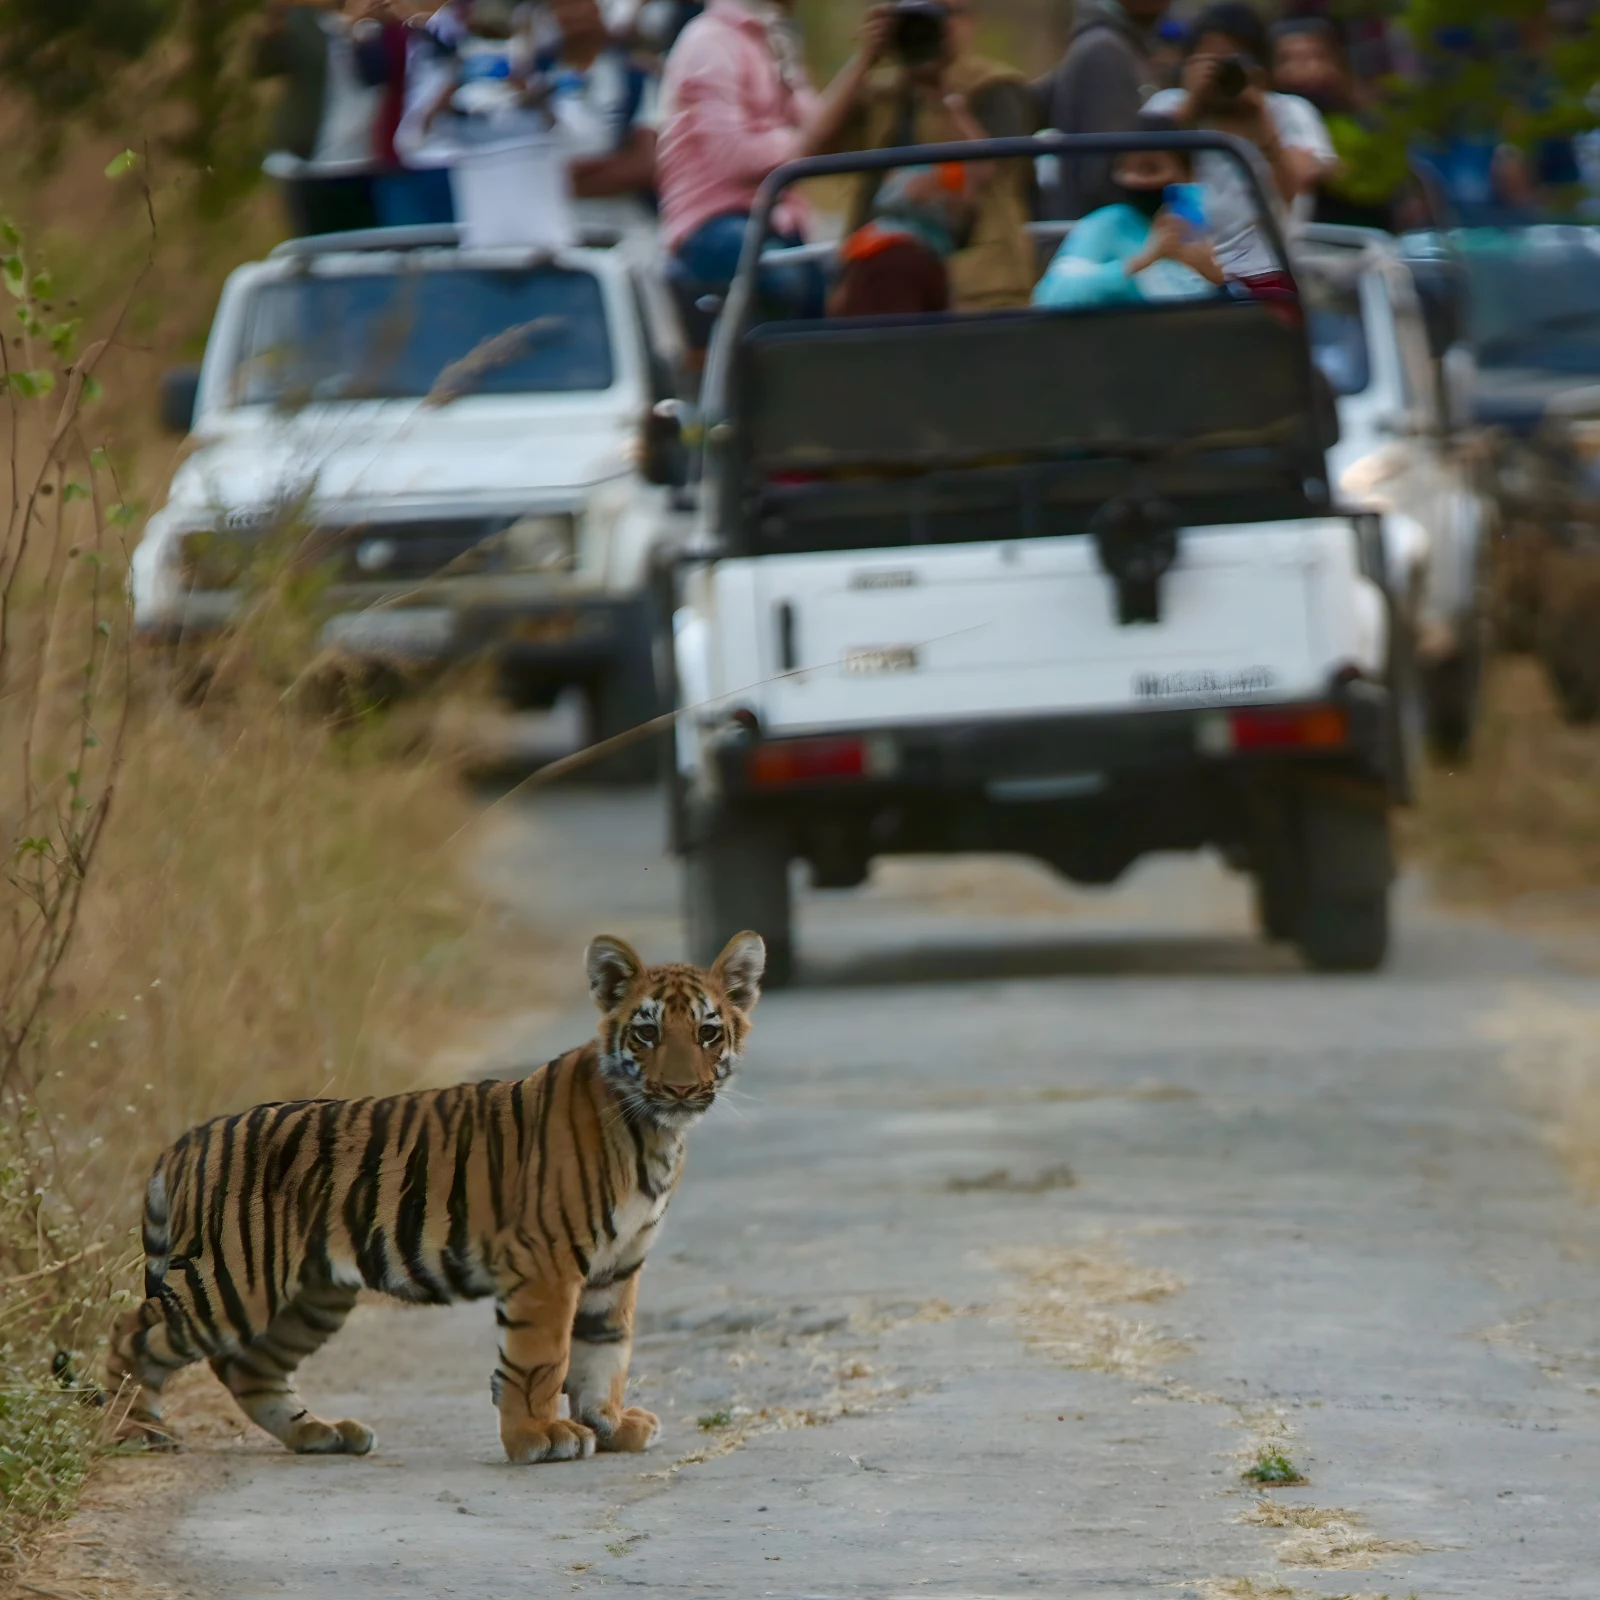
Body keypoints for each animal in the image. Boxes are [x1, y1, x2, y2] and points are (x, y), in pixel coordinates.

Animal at [103, 930, 765, 1464]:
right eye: (647, 1033)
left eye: (708, 1032)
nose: (680, 1089)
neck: (656, 1134)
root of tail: (186, 1141)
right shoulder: (547, 1264)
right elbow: (540, 1358)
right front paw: (538, 1437)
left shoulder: (617, 1267)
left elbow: (605, 1354)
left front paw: (611, 1424)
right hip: (234, 1284)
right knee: (130, 1332)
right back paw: (130, 1431)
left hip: (312, 1295)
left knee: (248, 1368)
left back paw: (323, 1434)